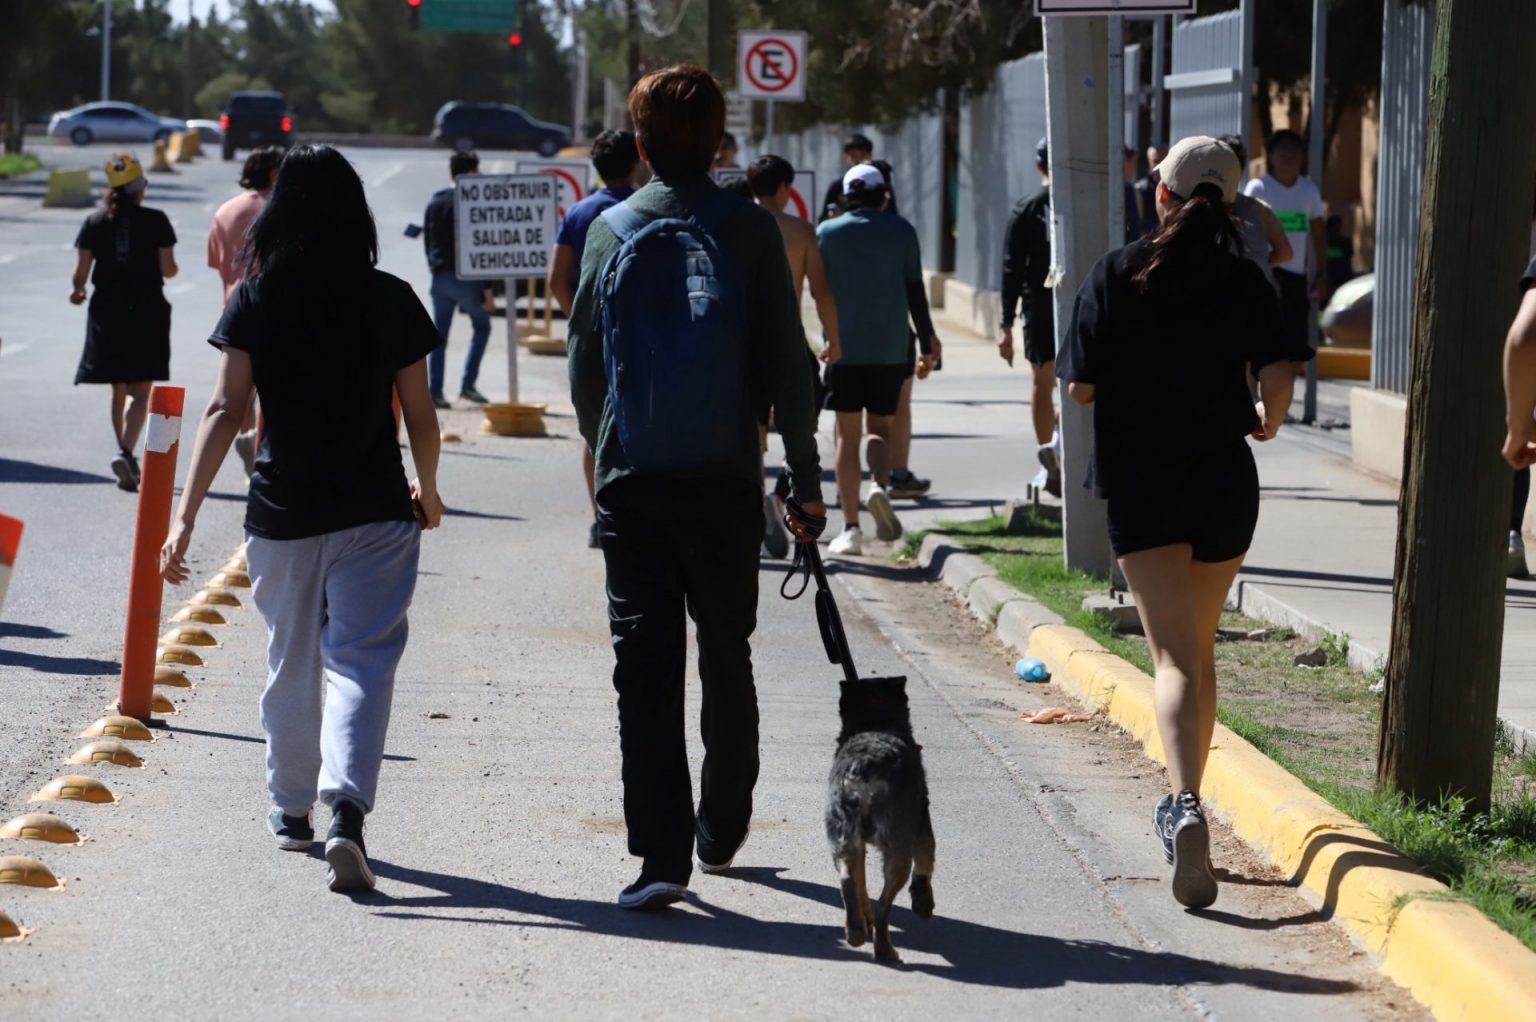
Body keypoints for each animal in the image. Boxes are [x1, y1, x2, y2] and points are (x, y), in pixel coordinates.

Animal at [825, 676, 935, 962]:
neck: (875, 721)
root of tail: (862, 769)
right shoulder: (922, 820)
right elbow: (926, 859)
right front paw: (923, 902)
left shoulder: (858, 844)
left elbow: (861, 882)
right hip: (898, 850)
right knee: (884, 905)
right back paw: (885, 950)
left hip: (843, 837)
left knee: (848, 878)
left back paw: (856, 930)